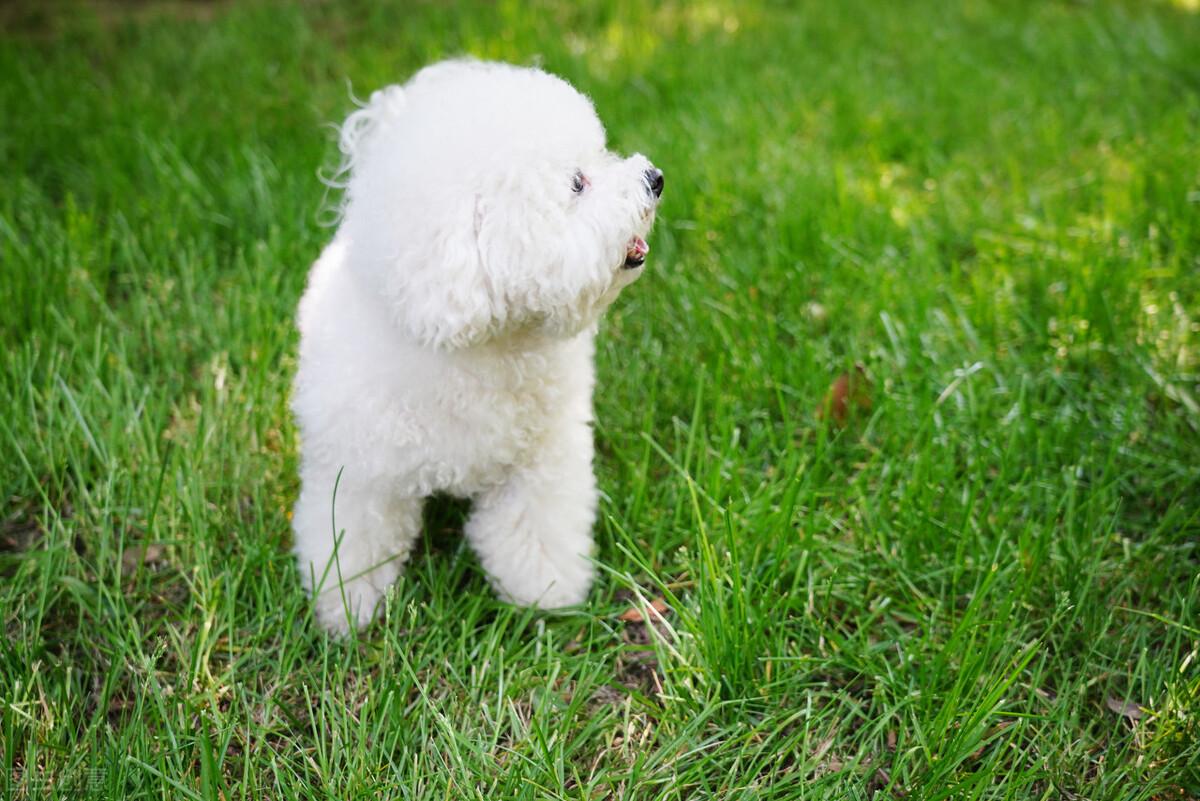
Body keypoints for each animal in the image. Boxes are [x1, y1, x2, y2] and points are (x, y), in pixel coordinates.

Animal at [291, 61, 667, 633]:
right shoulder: (359, 473)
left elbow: (536, 528)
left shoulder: (539, 460)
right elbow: (354, 539)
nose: (655, 178)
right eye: (576, 182)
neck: (481, 345)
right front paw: (347, 611)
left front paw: (547, 594)